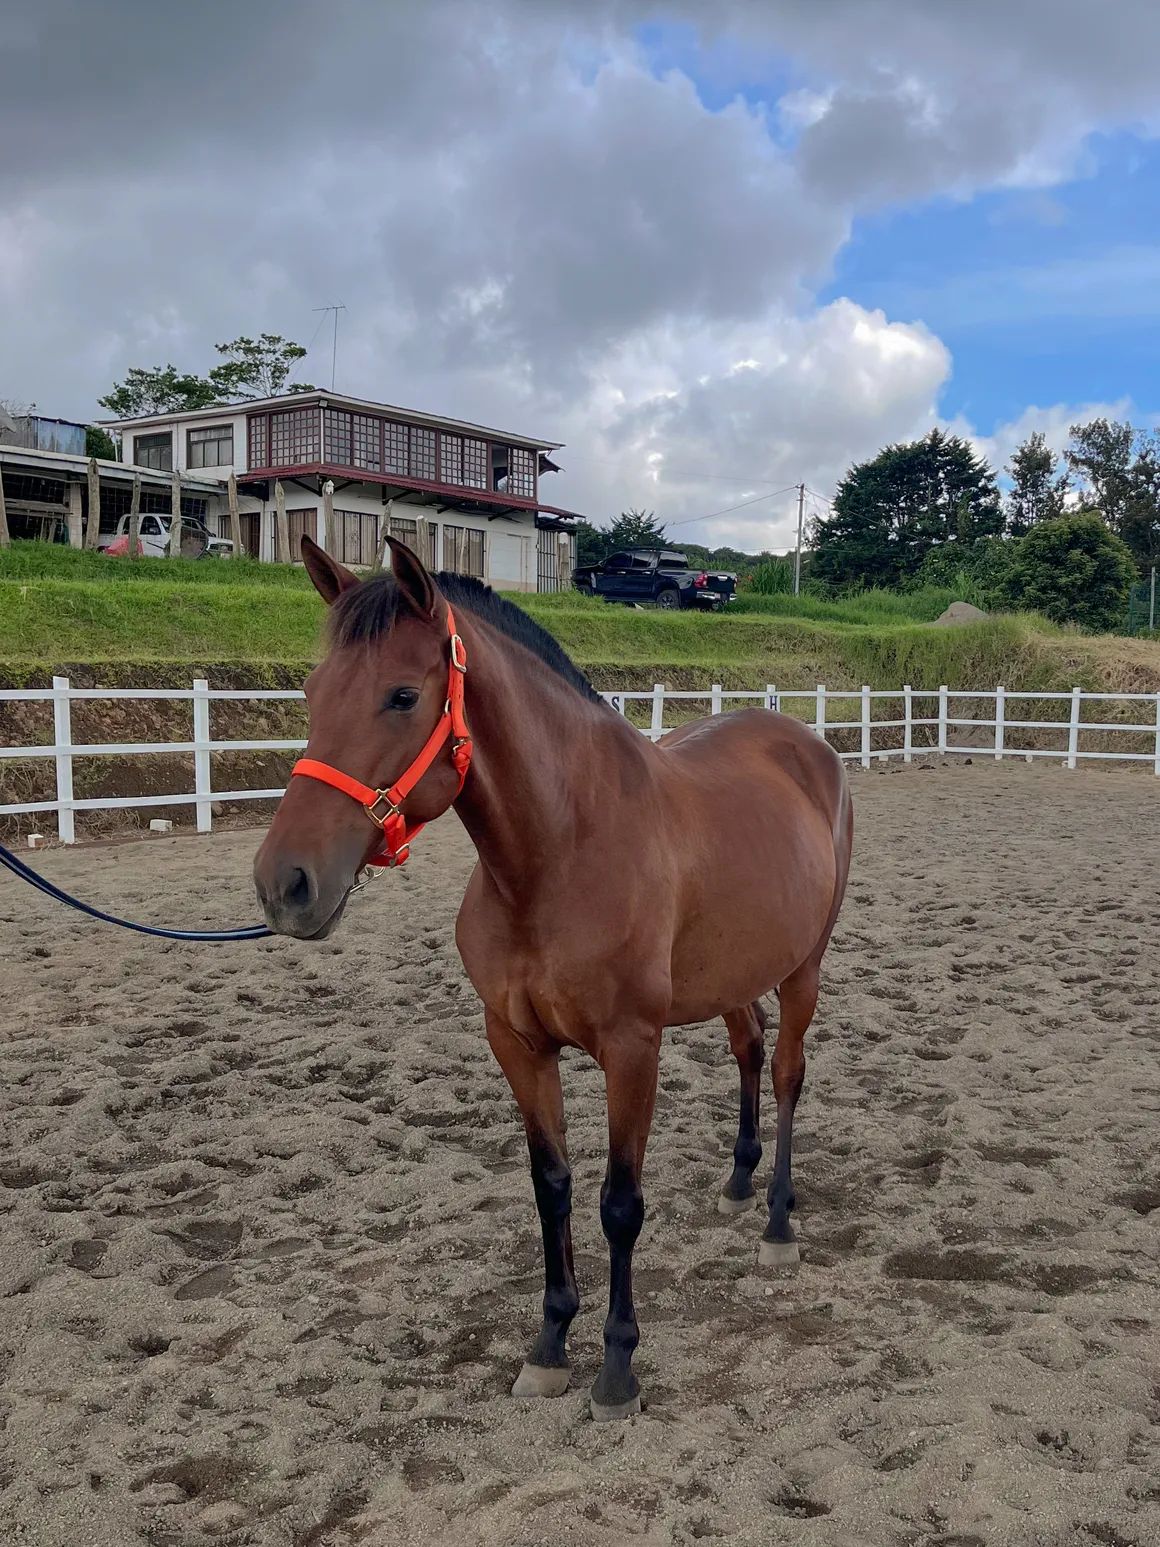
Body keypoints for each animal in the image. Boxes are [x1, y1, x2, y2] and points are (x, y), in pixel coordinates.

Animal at [254, 536, 853, 1422]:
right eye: (311, 691)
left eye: (402, 695)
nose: (284, 883)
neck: (559, 851)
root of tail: (806, 743)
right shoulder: (517, 1043)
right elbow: (552, 1186)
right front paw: (548, 1344)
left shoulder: (632, 1049)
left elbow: (619, 1202)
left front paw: (617, 1367)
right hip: (733, 971)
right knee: (748, 1052)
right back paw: (740, 1180)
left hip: (802, 968)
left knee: (784, 1073)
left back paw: (777, 1221)